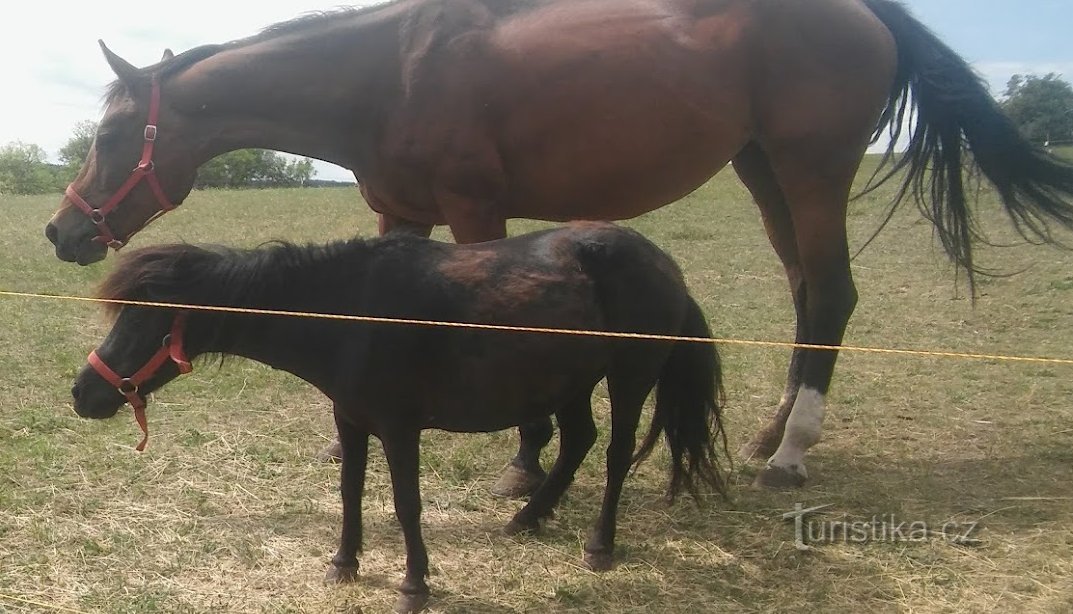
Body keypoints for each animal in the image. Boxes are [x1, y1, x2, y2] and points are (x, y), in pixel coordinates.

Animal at [43, 0, 1073, 489]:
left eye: (110, 135)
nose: (60, 230)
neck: (386, 72)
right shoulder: (398, 215)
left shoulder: (474, 212)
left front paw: (522, 464)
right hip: (764, 172)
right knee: (804, 293)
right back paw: (774, 430)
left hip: (811, 168)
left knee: (827, 294)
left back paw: (790, 454)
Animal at [71, 222, 729, 614]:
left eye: (147, 321)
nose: (83, 394)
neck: (352, 315)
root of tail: (663, 263)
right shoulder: (352, 419)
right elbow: (350, 492)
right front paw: (344, 564)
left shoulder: (398, 426)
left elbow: (406, 503)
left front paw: (415, 583)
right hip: (568, 381)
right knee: (577, 444)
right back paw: (527, 518)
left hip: (628, 378)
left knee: (615, 455)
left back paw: (598, 545)